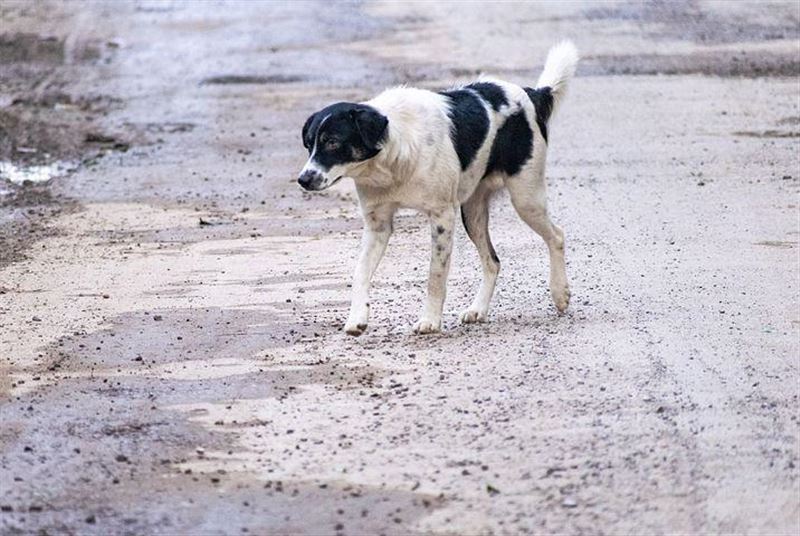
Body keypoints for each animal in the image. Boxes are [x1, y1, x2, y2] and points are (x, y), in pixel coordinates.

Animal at [296, 42, 580, 336]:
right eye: (308, 144)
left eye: (332, 142)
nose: (303, 179)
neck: (391, 157)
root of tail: (531, 93)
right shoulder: (378, 225)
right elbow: (360, 271)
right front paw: (357, 318)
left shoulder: (442, 216)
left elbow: (436, 275)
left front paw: (430, 320)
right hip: (473, 212)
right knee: (493, 261)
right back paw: (478, 309)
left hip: (525, 198)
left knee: (556, 236)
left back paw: (560, 293)